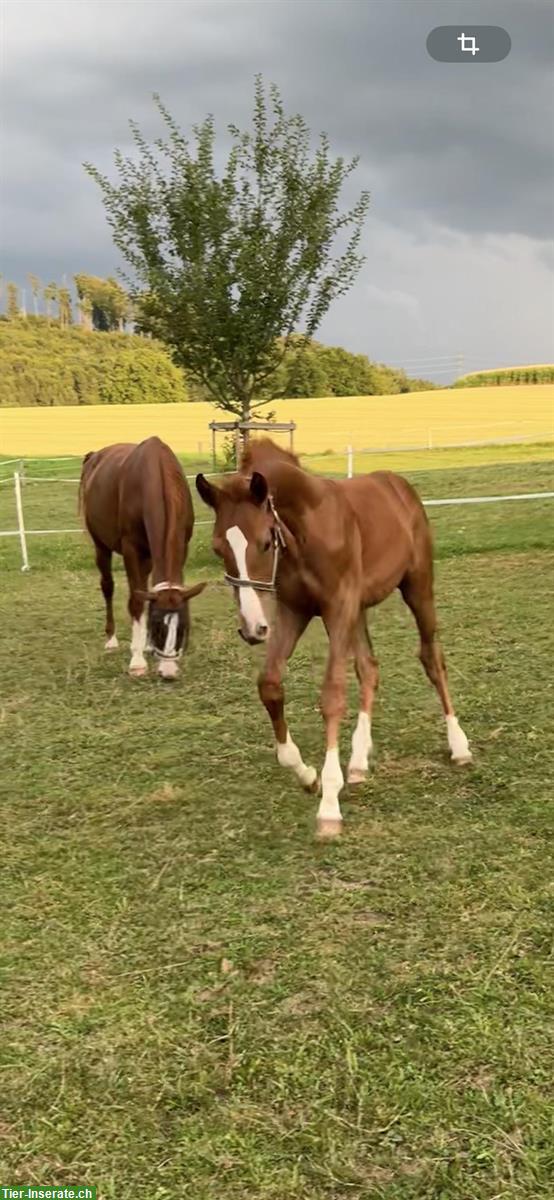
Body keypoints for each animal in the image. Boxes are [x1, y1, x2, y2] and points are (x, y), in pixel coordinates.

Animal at [195, 436, 472, 840]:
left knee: (431, 658)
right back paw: (357, 762)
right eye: (218, 547)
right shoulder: (295, 611)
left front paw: (328, 806)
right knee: (369, 668)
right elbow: (270, 684)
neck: (306, 529)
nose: (252, 629)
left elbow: (332, 696)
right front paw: (307, 775)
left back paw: (459, 745)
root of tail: (398, 484)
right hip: (358, 609)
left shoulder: (337, 607)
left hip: (418, 588)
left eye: (264, 543)